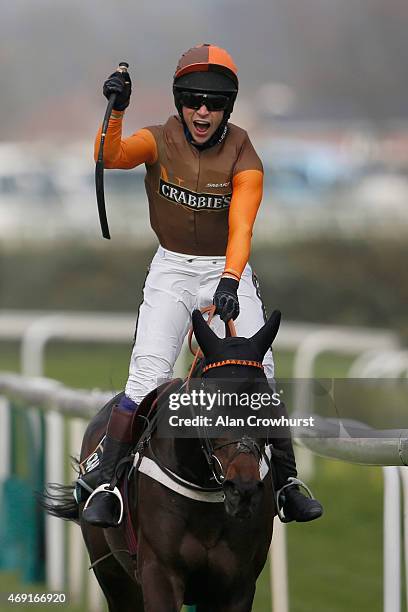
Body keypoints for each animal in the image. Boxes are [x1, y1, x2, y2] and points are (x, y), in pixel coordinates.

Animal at [42, 310, 284, 612]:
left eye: (266, 402)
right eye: (209, 402)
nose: (243, 489)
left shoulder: (237, 585)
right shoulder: (159, 573)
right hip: (113, 576)